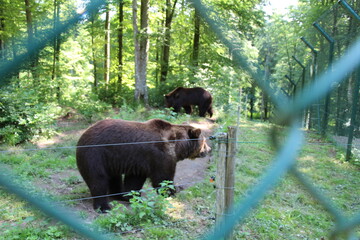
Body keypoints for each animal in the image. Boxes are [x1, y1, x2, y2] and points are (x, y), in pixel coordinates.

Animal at [76, 118, 211, 212]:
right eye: (204, 141)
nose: (209, 150)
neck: (177, 146)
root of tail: (83, 135)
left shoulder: (139, 162)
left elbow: (134, 181)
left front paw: (133, 197)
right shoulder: (160, 155)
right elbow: (162, 179)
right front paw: (173, 191)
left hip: (110, 161)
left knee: (114, 178)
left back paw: (119, 195)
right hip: (95, 155)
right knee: (98, 180)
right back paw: (104, 207)